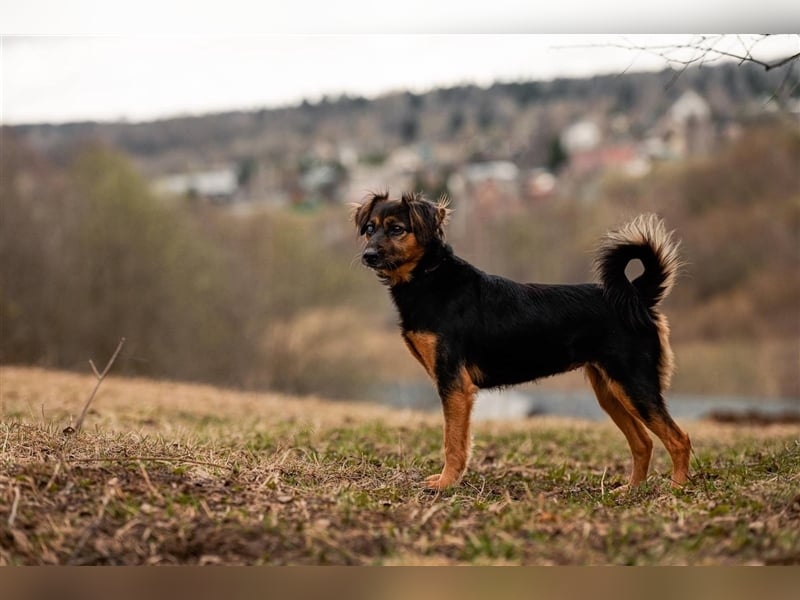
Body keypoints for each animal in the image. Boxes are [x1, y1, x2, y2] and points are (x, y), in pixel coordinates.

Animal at [354, 190, 692, 490]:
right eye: (370, 228)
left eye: (397, 229)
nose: (368, 256)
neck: (429, 276)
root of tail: (635, 295)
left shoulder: (454, 385)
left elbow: (453, 442)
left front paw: (446, 483)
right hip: (611, 390)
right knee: (643, 442)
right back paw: (632, 490)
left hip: (634, 384)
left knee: (679, 439)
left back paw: (676, 489)